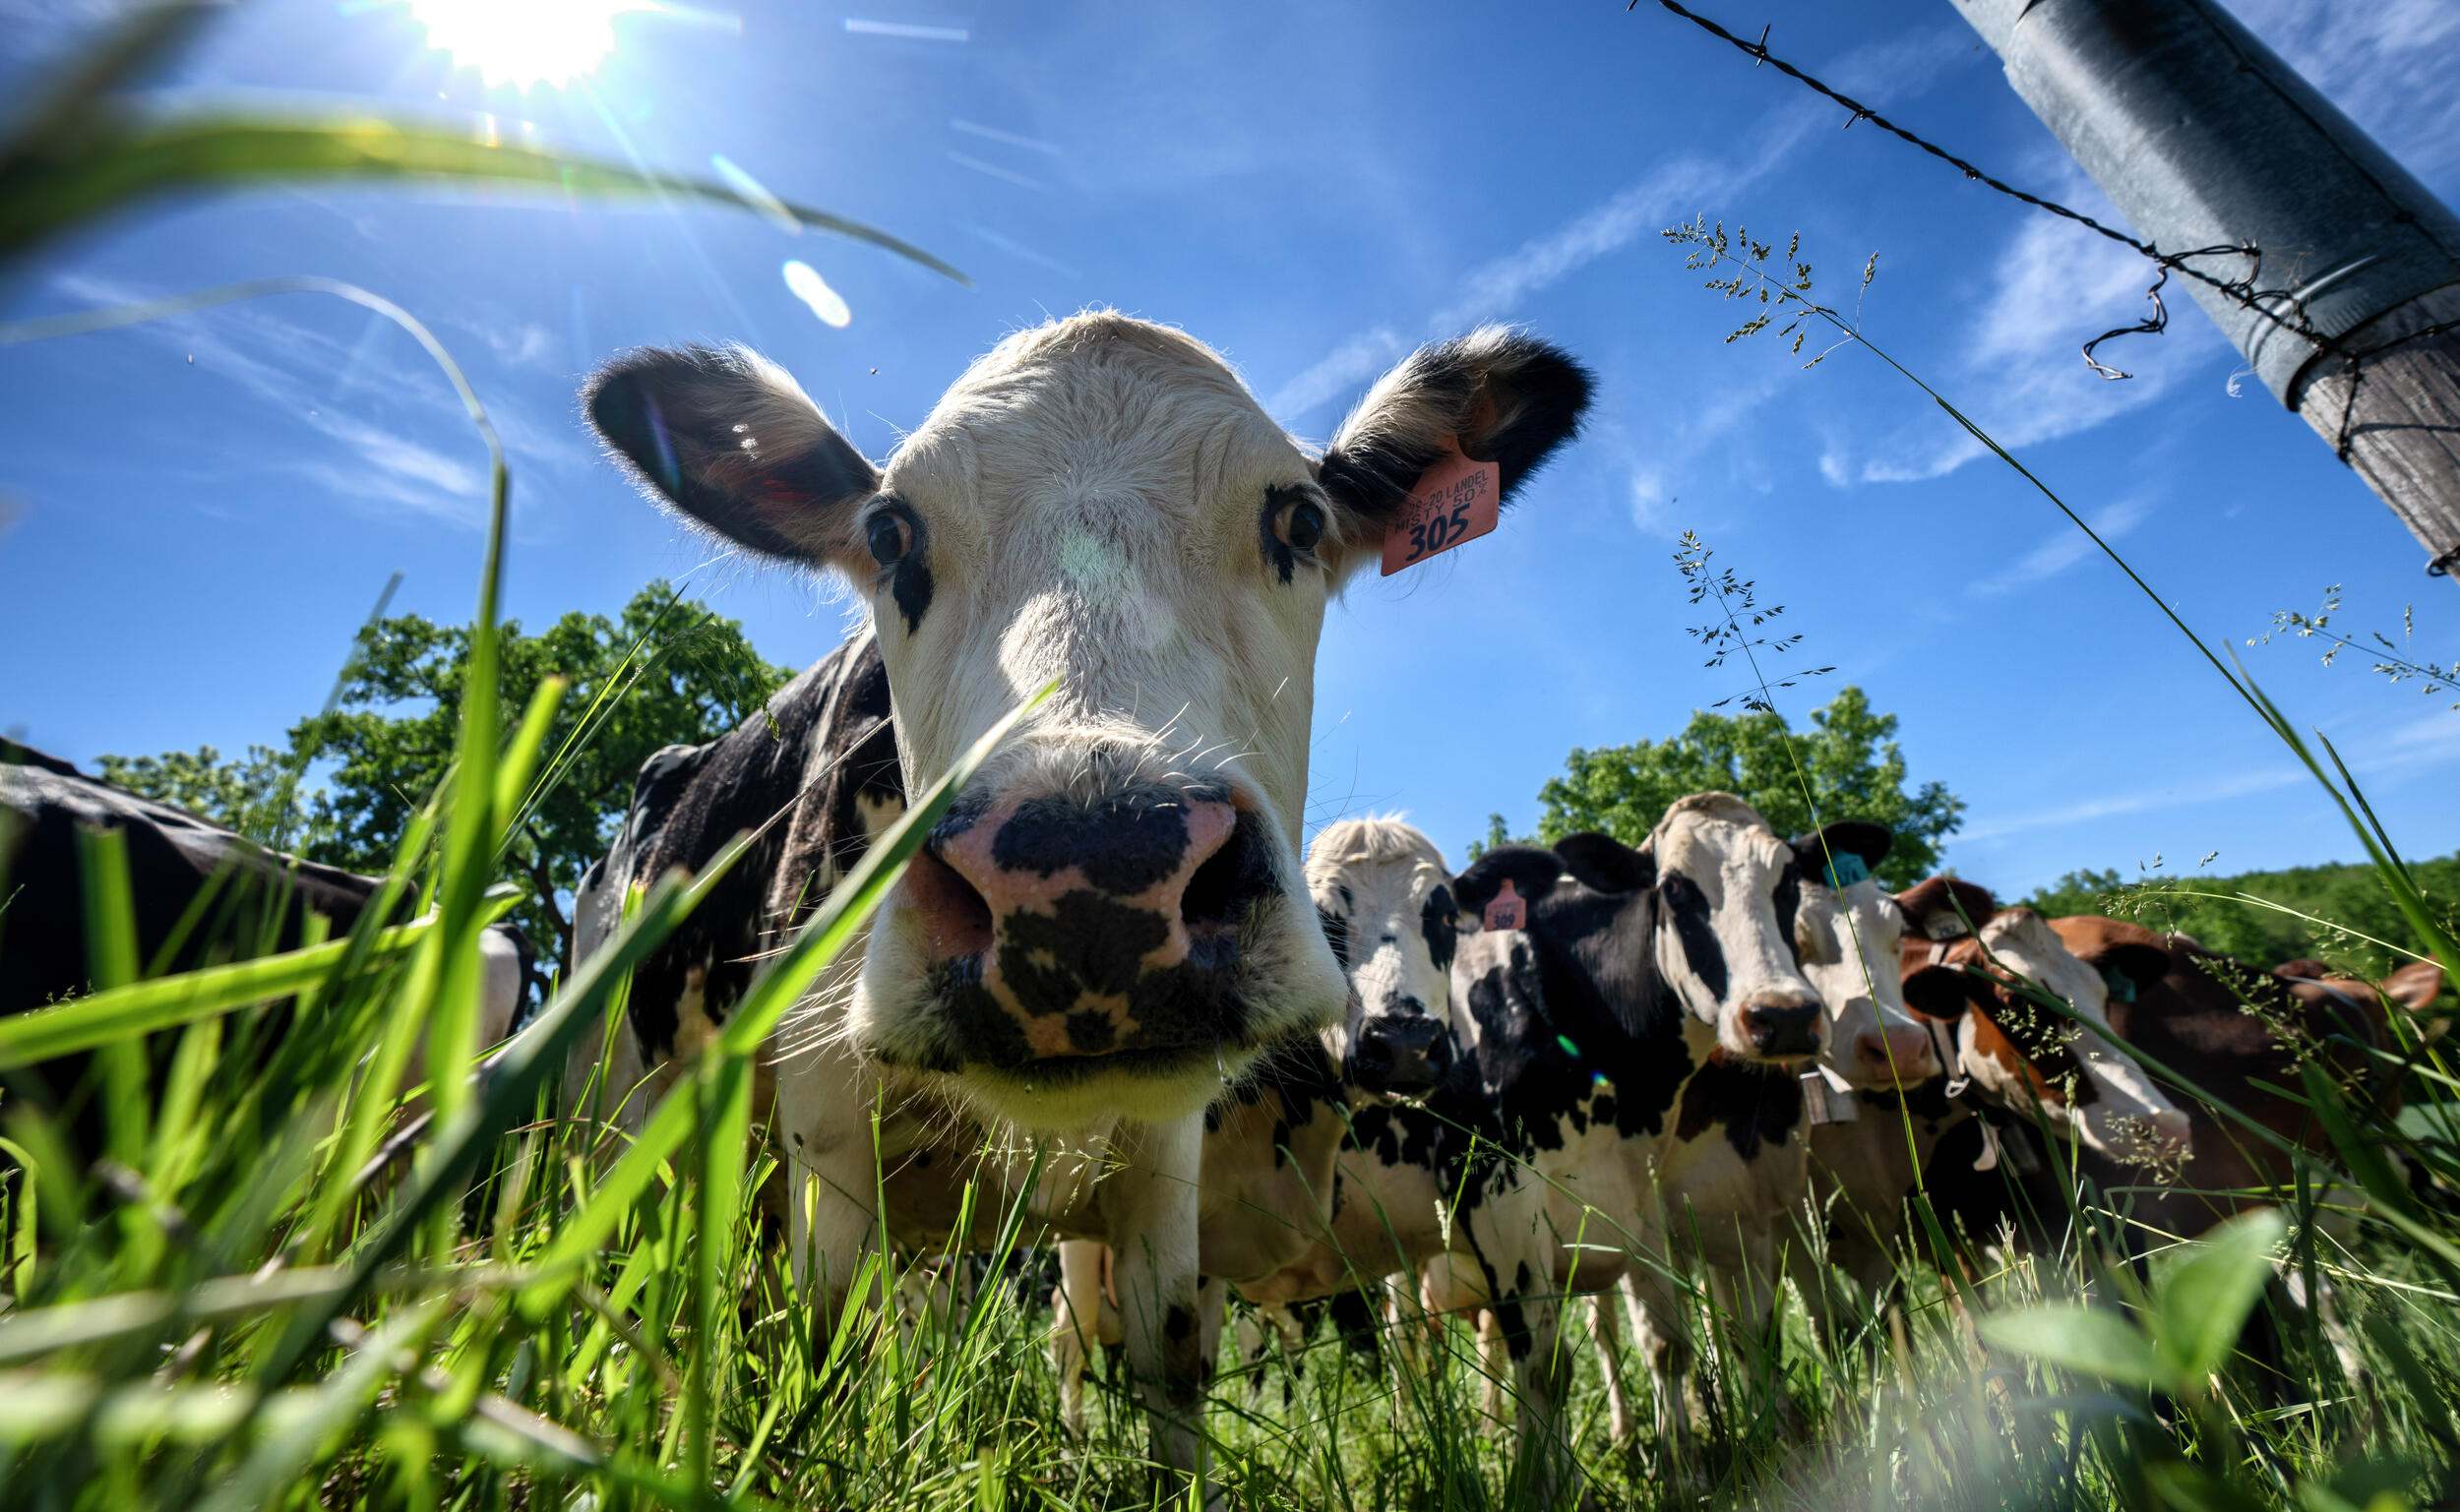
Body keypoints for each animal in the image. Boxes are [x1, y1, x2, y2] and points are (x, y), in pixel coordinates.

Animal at [572, 313, 1590, 1487]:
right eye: (890, 534)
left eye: (1298, 517)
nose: (1090, 872)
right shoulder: (828, 1138)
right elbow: (822, 1360)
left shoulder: (1163, 1160)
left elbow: (1171, 1365)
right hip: (621, 1126)